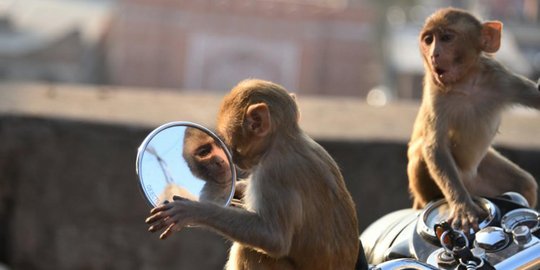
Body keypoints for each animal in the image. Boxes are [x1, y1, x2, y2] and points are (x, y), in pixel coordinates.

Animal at [146, 79, 360, 270]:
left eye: (228, 140)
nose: (229, 159)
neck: (284, 140)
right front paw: (238, 189)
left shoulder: (273, 174)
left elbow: (274, 238)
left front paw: (193, 211)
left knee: (248, 250)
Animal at [410, 7, 540, 232]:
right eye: (428, 39)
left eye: (446, 38)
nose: (434, 54)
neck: (466, 83)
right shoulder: (436, 94)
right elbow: (434, 146)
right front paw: (462, 206)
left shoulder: (502, 78)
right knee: (420, 152)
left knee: (526, 185)